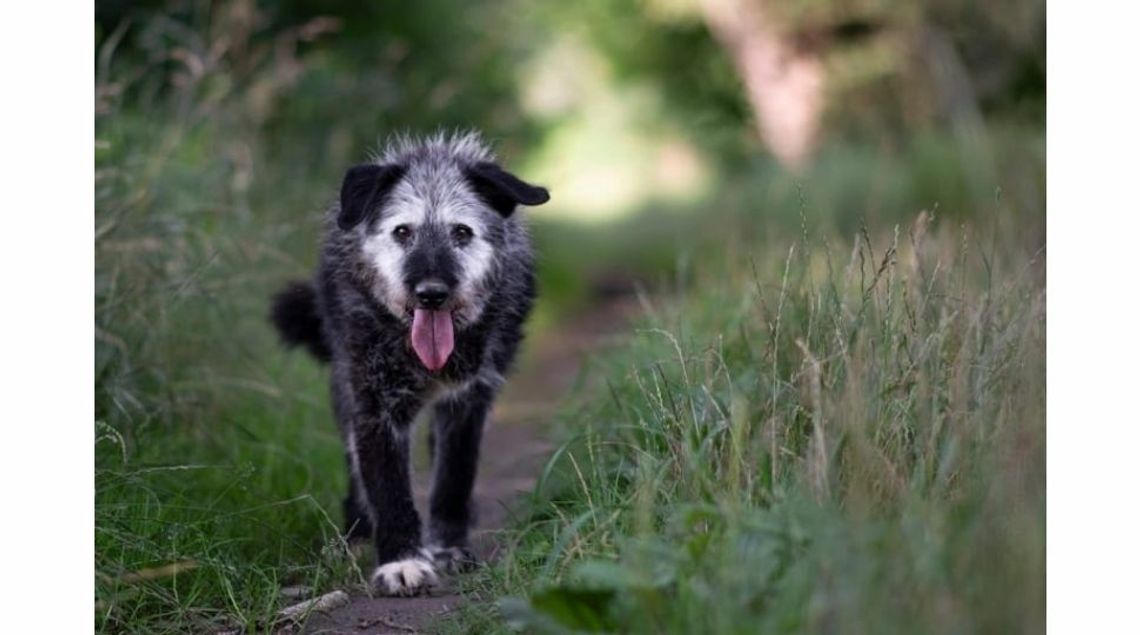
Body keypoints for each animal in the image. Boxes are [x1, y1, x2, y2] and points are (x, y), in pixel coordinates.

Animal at [269, 132, 549, 592]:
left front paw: (448, 548)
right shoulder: (373, 407)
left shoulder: (468, 401)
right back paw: (358, 534)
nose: (431, 293)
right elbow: (388, 488)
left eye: (461, 232)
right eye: (403, 232)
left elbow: (452, 479)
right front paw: (401, 561)